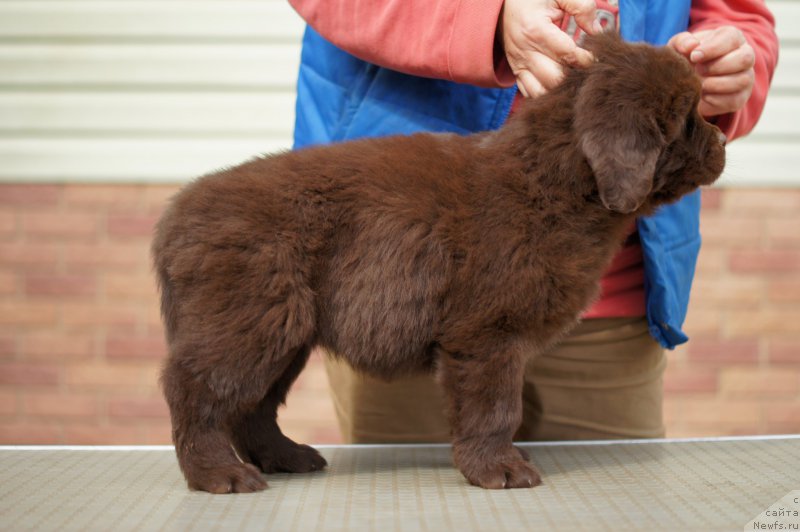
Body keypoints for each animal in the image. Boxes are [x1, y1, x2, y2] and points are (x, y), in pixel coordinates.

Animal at [150, 32, 724, 490]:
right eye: (688, 119)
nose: (722, 138)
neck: (553, 184)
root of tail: (175, 215)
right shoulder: (487, 333)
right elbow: (496, 406)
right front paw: (499, 469)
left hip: (281, 331)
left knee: (253, 406)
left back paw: (283, 456)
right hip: (251, 318)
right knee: (196, 389)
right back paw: (218, 473)